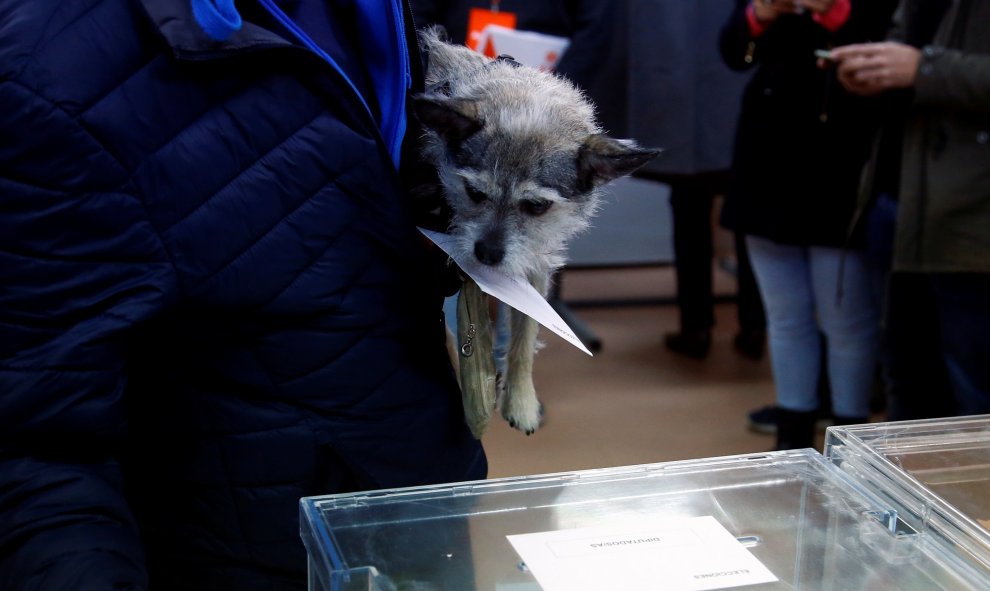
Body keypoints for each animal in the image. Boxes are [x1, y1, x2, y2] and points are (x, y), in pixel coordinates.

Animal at [410, 27, 660, 434]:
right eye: (474, 193)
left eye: (537, 207)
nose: (487, 254)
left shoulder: (535, 267)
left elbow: (525, 337)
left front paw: (521, 398)